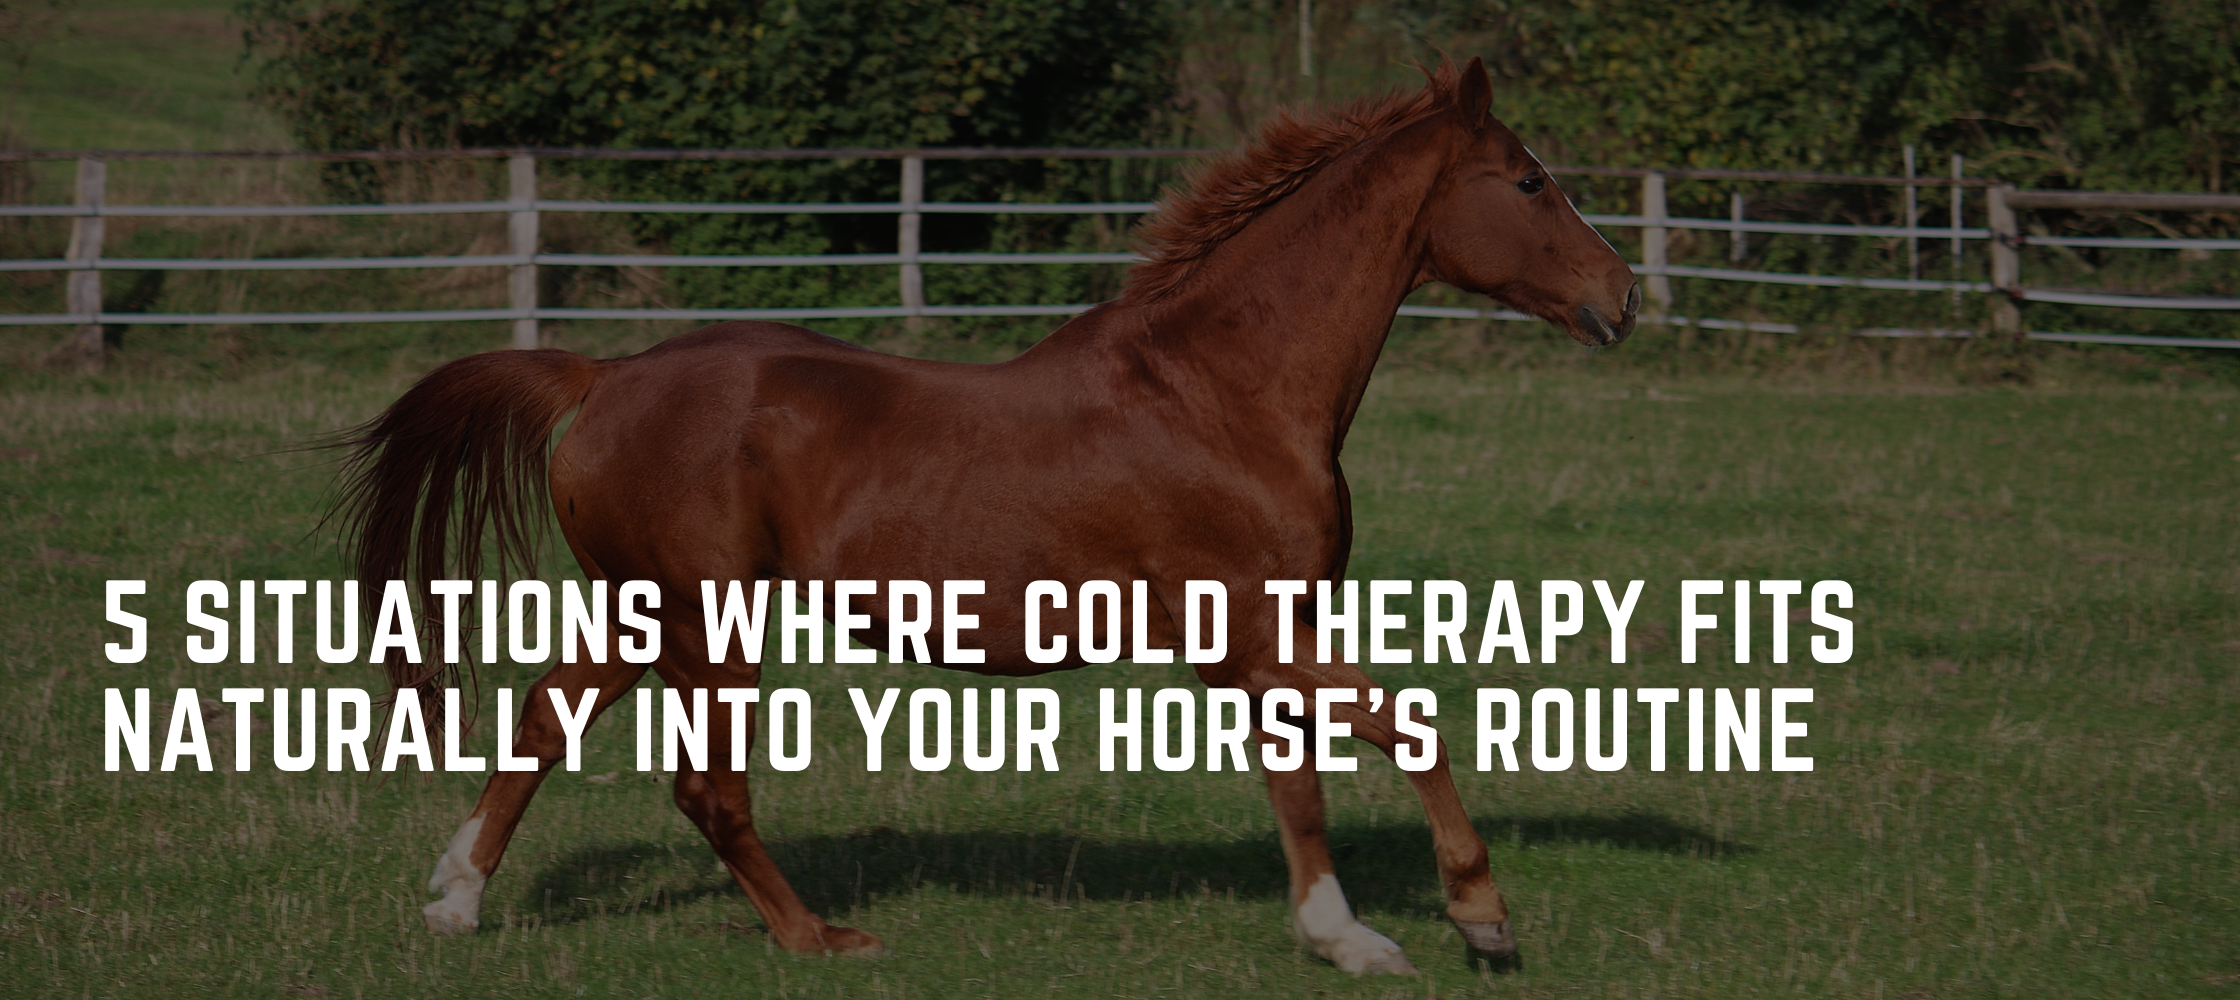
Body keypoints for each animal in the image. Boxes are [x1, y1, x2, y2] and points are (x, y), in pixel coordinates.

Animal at [333, 57, 1638, 974]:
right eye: (1529, 180)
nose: (1622, 296)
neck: (1223, 390)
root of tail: (601, 379)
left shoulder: (1267, 636)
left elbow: (1301, 780)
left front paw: (1342, 931)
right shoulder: (1247, 632)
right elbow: (1400, 731)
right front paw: (1470, 919)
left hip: (646, 610)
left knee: (542, 723)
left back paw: (455, 898)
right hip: (710, 622)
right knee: (706, 789)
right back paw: (820, 940)